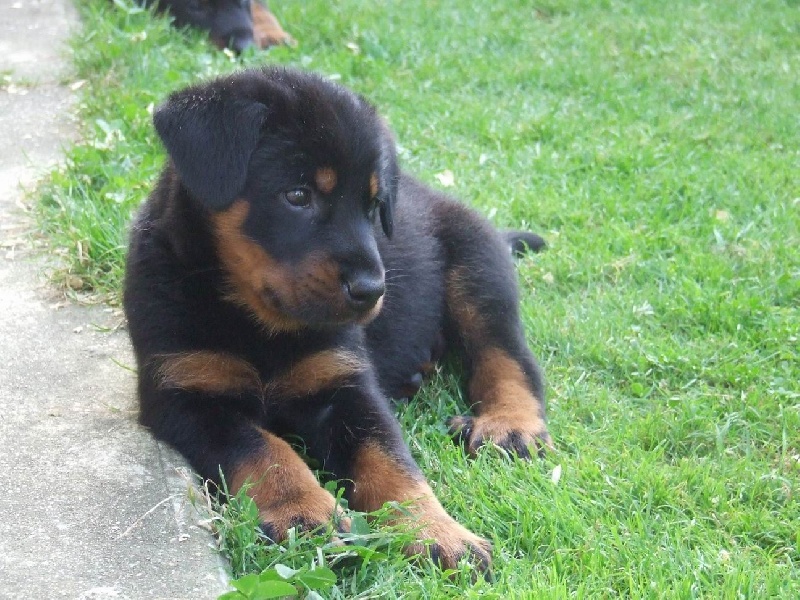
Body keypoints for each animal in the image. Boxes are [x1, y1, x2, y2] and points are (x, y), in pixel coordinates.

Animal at [123, 67, 552, 572]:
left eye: (373, 206)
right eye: (297, 195)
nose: (372, 290)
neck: (259, 324)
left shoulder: (346, 384)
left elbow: (391, 462)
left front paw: (437, 531)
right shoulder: (186, 395)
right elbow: (264, 448)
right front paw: (304, 511)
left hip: (478, 268)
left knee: (507, 355)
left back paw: (510, 425)